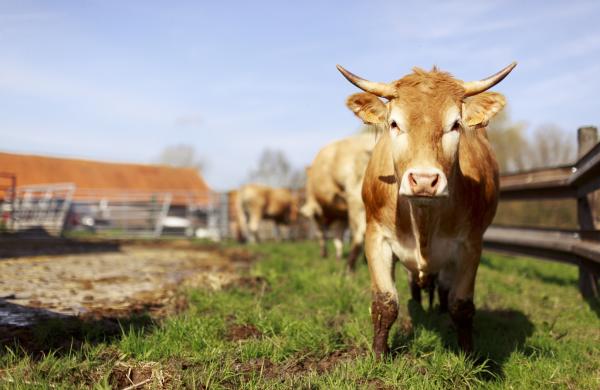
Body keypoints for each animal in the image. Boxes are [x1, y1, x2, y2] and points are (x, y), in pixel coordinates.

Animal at [300, 133, 376, 270]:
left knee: (360, 231)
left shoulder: (318, 212)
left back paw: (349, 267)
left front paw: (325, 255)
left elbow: (322, 234)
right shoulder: (340, 216)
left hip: (356, 198)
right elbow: (338, 236)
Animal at [338, 61, 516, 356]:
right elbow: (385, 303)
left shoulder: (470, 245)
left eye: (455, 124)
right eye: (394, 123)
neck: (423, 218)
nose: (423, 180)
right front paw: (379, 354)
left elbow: (461, 305)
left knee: (443, 289)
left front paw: (468, 355)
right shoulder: (376, 237)